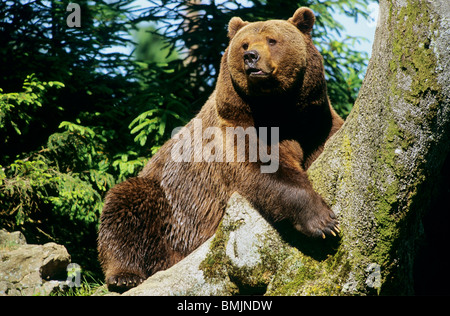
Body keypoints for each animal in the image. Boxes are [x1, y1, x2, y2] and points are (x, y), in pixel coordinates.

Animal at [99, 7, 344, 292]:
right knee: (127, 204)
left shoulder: (316, 123)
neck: (278, 110)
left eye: (272, 40)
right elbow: (269, 171)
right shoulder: (236, 129)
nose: (251, 57)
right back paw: (125, 275)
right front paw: (323, 221)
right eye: (244, 44)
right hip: (169, 209)